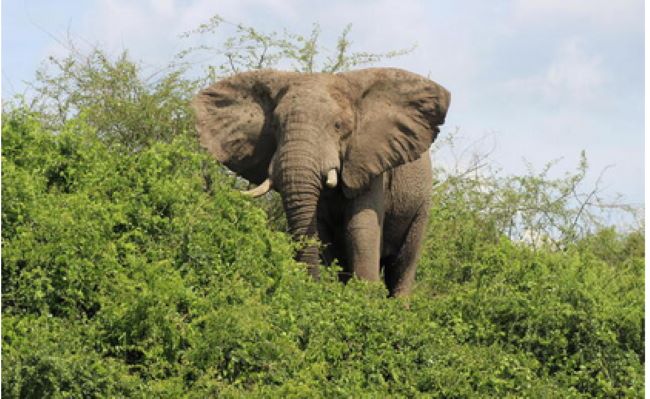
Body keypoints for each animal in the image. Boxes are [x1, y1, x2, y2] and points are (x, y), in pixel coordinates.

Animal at [190, 67, 448, 296]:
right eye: (275, 126)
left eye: (338, 126)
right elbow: (322, 232)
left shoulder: (368, 163)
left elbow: (361, 229)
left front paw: (366, 303)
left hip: (420, 206)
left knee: (403, 264)